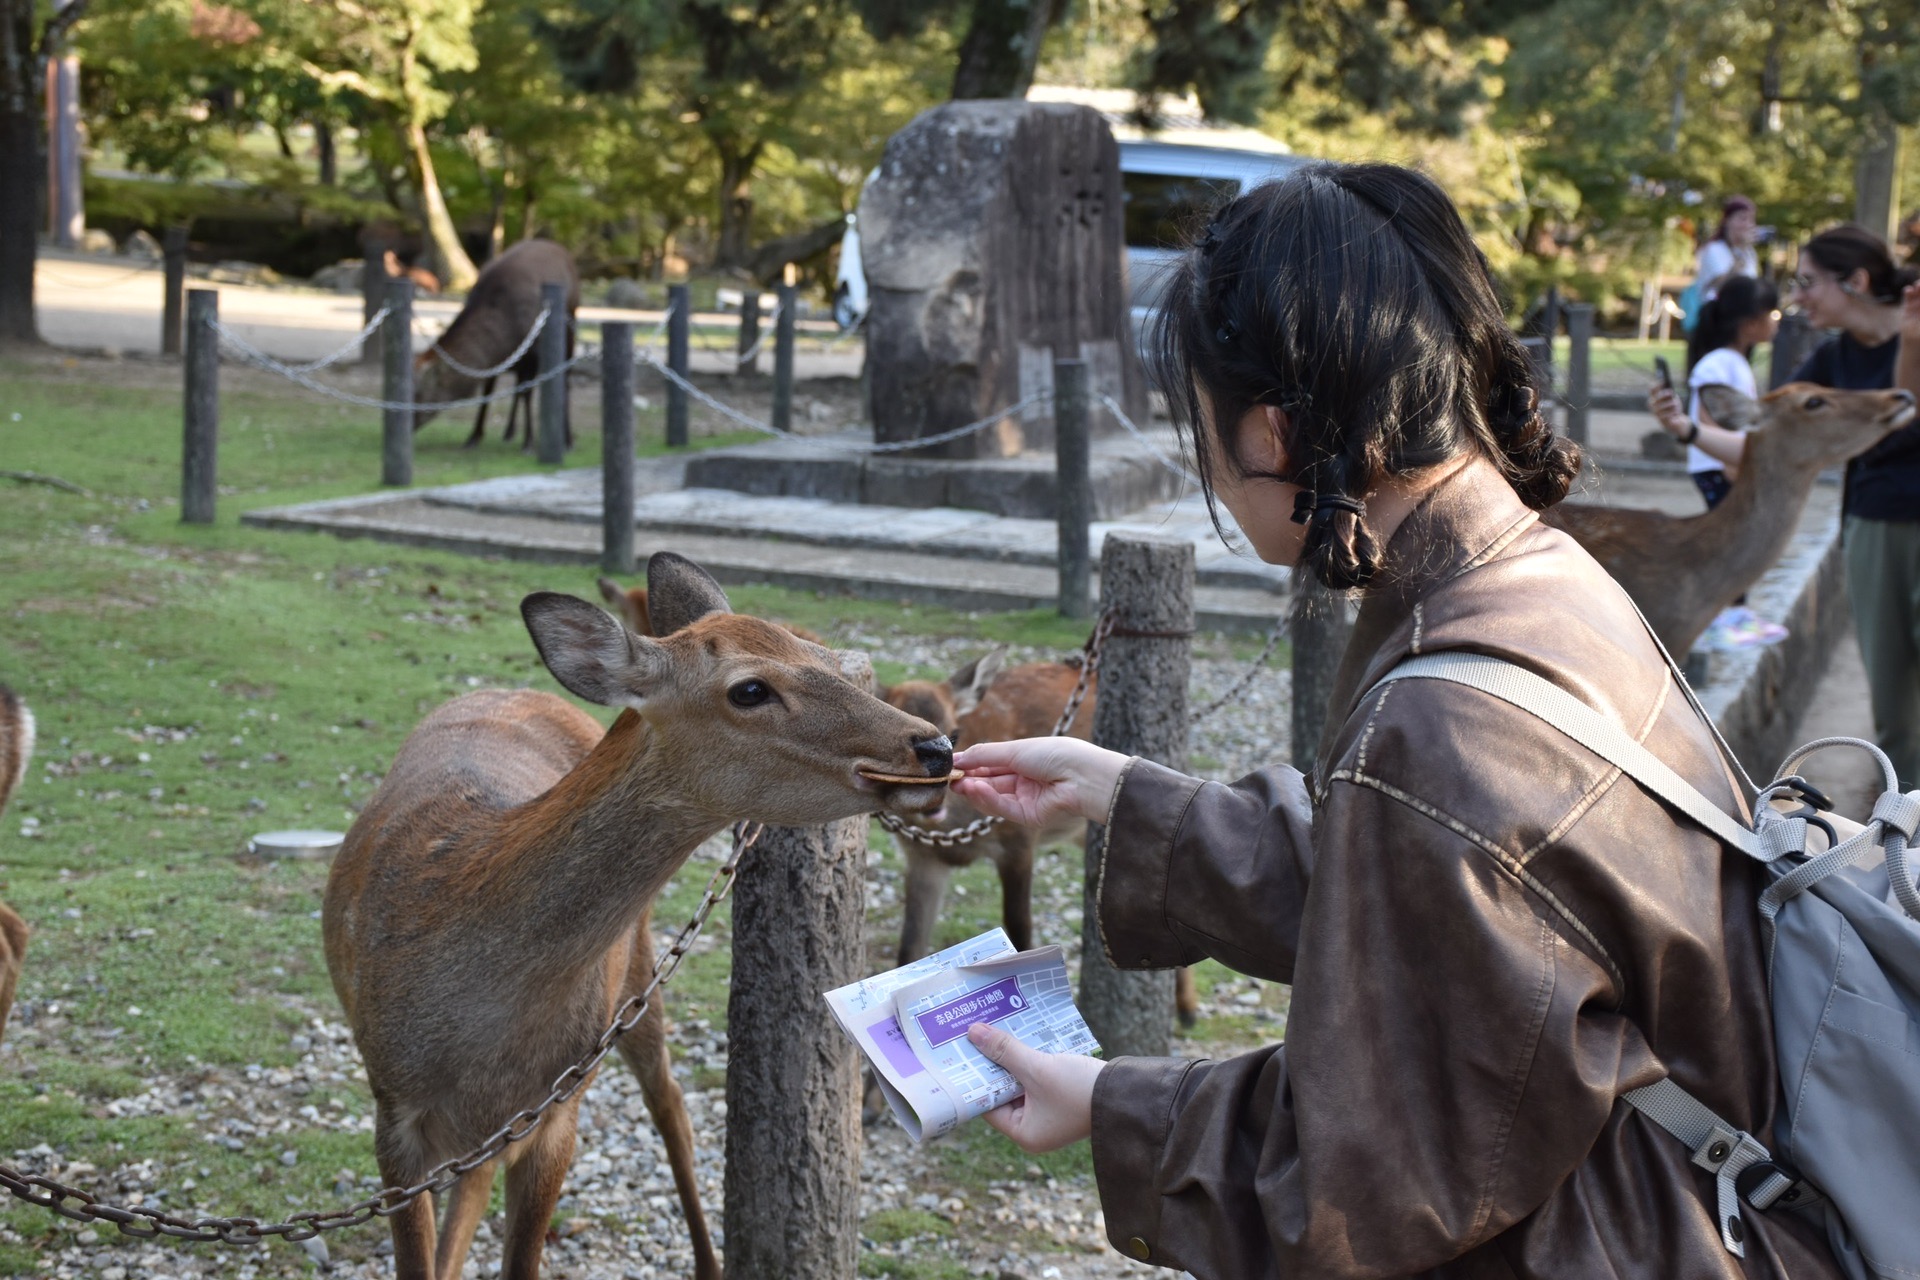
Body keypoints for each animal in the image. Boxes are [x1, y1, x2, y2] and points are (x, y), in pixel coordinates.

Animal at [332, 552, 960, 1280]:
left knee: (671, 1104)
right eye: (749, 689)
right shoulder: (392, 1114)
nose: (936, 749)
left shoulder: (559, 1108)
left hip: (635, 978)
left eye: (837, 662)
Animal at [412, 238, 576, 450]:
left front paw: (529, 442)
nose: (407, 421)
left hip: (571, 323)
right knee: (518, 385)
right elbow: (488, 390)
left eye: (418, 393)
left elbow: (528, 391)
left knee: (565, 379)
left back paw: (567, 438)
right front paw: (474, 436)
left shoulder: (535, 349)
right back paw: (509, 432)